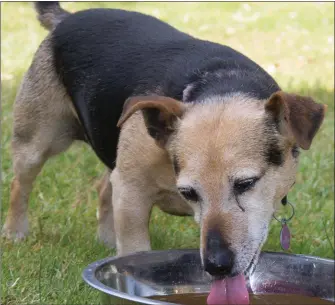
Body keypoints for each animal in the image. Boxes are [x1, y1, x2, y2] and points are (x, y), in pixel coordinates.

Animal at [3, 1, 326, 302]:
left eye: (246, 184)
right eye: (189, 193)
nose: (216, 266)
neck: (222, 86)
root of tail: (66, 18)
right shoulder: (131, 191)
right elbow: (134, 250)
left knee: (103, 186)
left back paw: (106, 239)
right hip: (37, 139)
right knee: (21, 183)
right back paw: (14, 232)